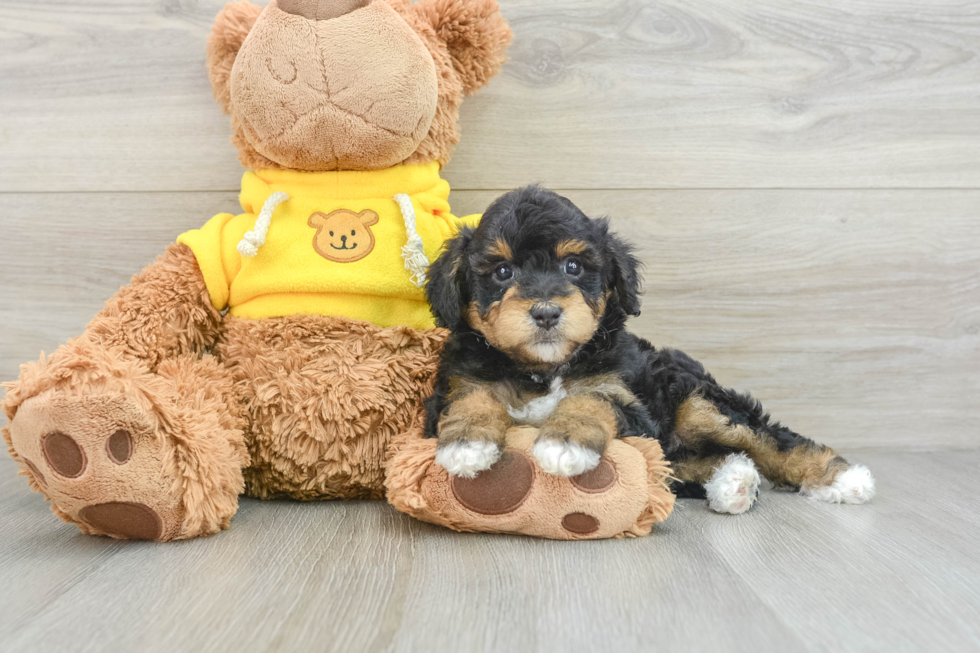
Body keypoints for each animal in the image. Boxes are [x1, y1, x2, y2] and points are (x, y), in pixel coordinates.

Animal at [424, 186, 876, 512]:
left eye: (574, 267)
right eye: (503, 272)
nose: (547, 312)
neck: (542, 368)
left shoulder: (631, 406)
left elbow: (591, 398)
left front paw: (565, 440)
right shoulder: (456, 384)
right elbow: (473, 397)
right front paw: (466, 443)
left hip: (695, 398)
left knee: (767, 438)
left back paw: (841, 479)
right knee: (689, 460)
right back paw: (734, 482)